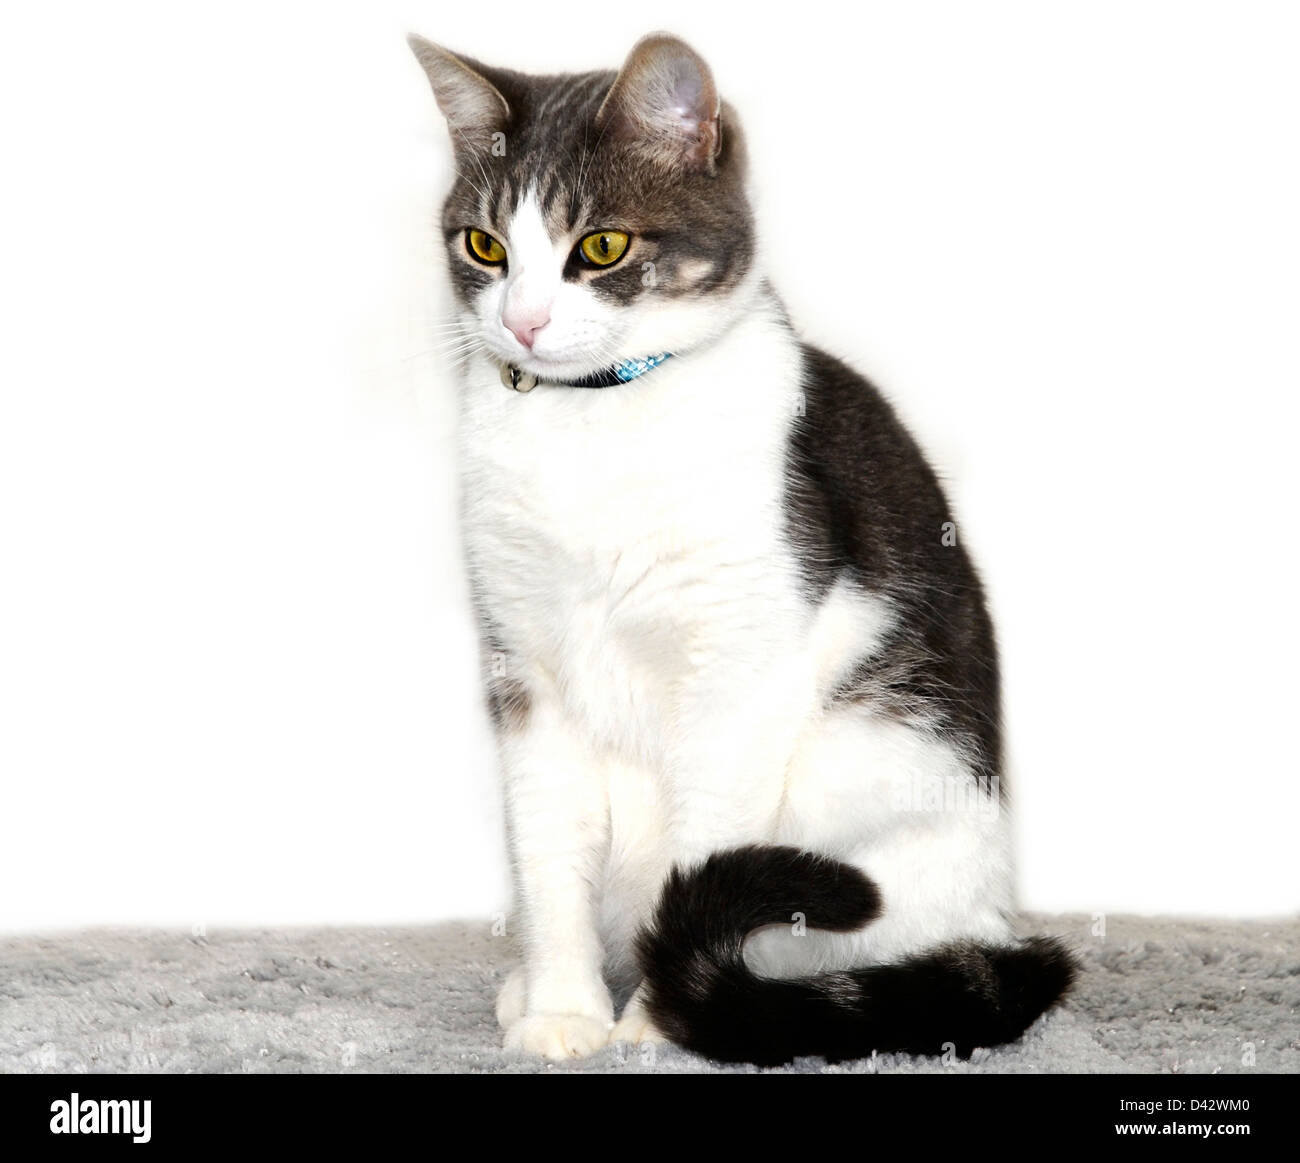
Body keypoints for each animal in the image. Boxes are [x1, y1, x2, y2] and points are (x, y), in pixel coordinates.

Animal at [408, 29, 1076, 1065]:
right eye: (486, 245)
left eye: (600, 246)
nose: (522, 321)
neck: (589, 424)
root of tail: (993, 916)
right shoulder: (525, 669)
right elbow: (548, 855)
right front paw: (564, 1011)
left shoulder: (735, 671)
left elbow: (701, 847)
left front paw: (659, 1020)